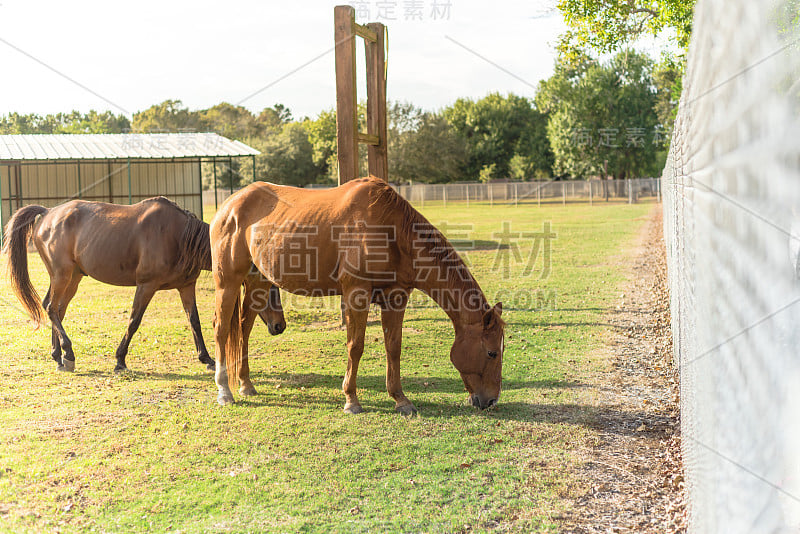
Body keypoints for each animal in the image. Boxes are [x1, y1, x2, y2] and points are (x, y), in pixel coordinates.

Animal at [4, 195, 286, 374]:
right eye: (268, 288)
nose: (280, 326)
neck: (178, 236)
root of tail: (47, 214)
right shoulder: (146, 286)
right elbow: (134, 321)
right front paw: (119, 360)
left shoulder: (186, 287)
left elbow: (194, 321)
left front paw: (207, 358)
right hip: (62, 275)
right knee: (52, 308)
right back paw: (69, 354)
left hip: (72, 277)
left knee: (56, 309)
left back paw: (58, 357)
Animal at [209, 178, 504, 416]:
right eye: (491, 352)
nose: (491, 401)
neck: (391, 231)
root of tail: (229, 207)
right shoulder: (356, 295)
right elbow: (356, 346)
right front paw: (351, 400)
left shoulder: (396, 298)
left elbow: (393, 347)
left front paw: (400, 399)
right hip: (228, 284)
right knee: (222, 330)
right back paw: (224, 391)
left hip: (257, 283)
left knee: (244, 329)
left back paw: (246, 384)